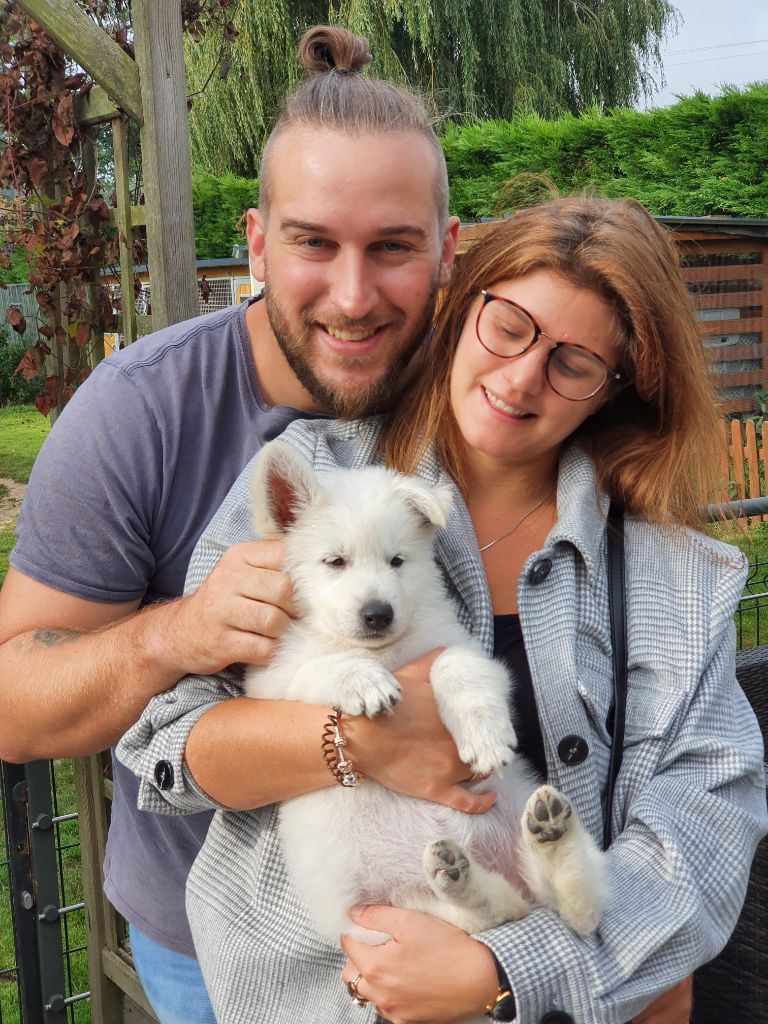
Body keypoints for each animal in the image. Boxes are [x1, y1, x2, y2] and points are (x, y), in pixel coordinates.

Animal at [244, 440, 607, 954]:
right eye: (335, 562)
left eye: (398, 561)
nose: (378, 613)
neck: (383, 651)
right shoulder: (270, 683)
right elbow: (319, 667)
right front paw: (365, 683)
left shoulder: (462, 647)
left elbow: (453, 665)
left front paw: (484, 736)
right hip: (393, 914)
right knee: (487, 914)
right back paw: (463, 875)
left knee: (574, 904)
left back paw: (549, 836)